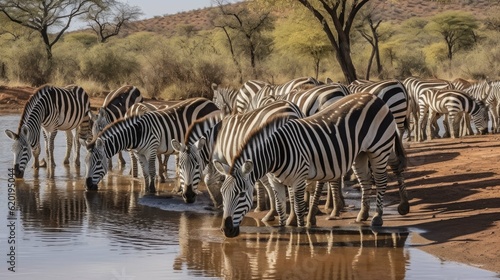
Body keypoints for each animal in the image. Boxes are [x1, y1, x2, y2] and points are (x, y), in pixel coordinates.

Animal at [84, 98, 219, 192]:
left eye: (98, 163)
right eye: (85, 162)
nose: (88, 186)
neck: (137, 133)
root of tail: (211, 102)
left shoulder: (152, 149)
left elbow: (152, 170)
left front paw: (153, 190)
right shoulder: (139, 153)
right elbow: (145, 172)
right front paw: (146, 190)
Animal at [213, 93, 408, 237]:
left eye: (241, 194)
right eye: (222, 193)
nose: (226, 230)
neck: (276, 152)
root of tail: (375, 97)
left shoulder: (299, 179)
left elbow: (299, 208)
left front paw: (300, 232)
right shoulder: (276, 181)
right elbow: (281, 207)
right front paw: (282, 231)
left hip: (380, 148)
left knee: (382, 180)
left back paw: (378, 217)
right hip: (361, 153)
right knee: (368, 180)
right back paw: (364, 215)